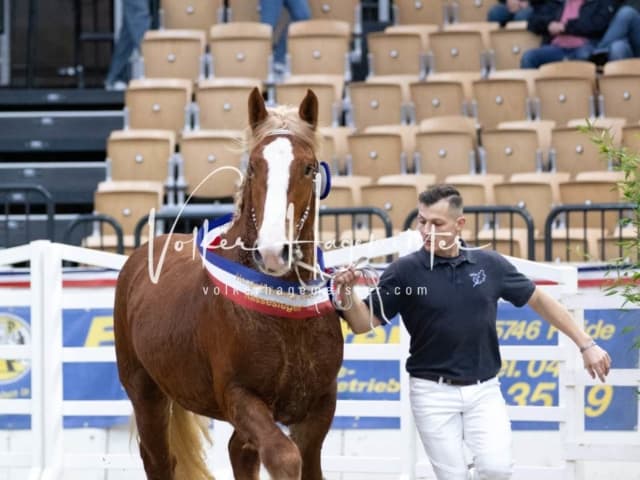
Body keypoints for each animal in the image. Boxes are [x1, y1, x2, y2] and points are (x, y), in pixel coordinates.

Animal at [115, 88, 344, 478]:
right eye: (253, 166)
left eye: (308, 168)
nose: (273, 251)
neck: (285, 315)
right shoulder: (240, 396)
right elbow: (284, 457)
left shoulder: (319, 407)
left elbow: (304, 462)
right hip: (146, 393)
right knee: (159, 459)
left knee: (239, 451)